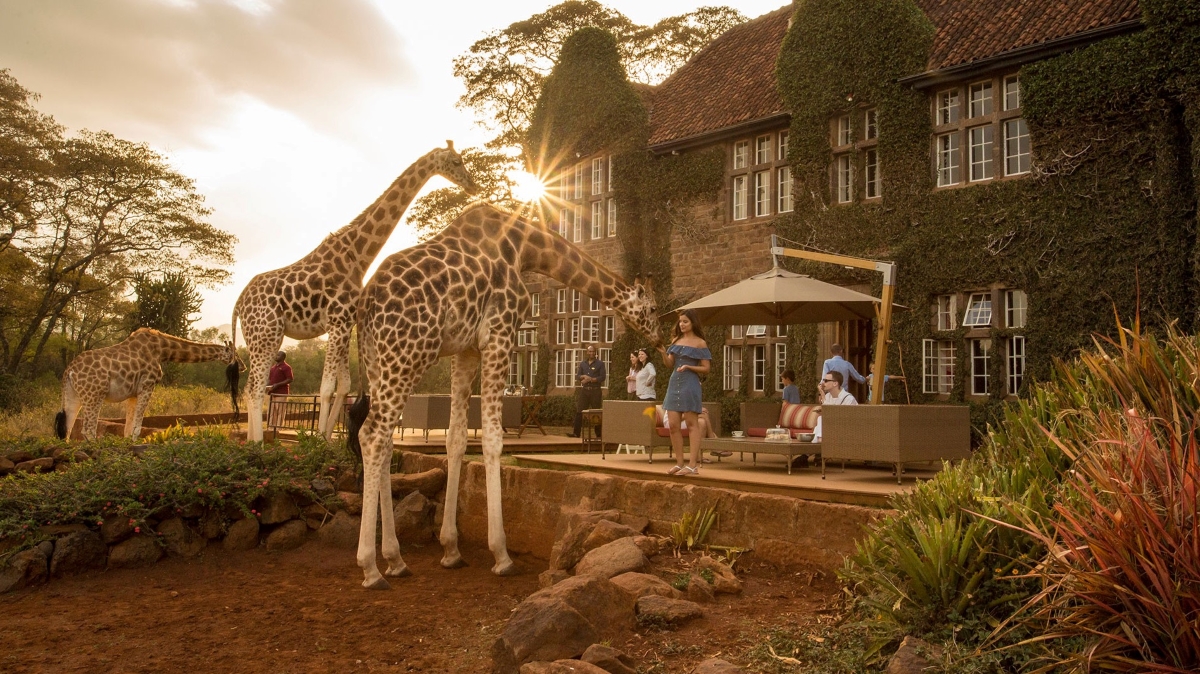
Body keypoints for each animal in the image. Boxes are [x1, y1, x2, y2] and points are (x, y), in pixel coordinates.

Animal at [56, 326, 241, 441]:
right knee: (87, 429)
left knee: (67, 429)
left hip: (73, 395)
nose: (244, 366)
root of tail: (69, 371)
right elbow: (137, 427)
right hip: (94, 394)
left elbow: (128, 427)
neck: (163, 350)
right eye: (236, 355)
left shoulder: (133, 393)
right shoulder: (147, 385)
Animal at [231, 141, 480, 441]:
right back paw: (258, 444)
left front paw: (327, 440)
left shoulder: (344, 322)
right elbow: (326, 388)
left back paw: (249, 441)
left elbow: (343, 386)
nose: (473, 186)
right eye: (456, 161)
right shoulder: (337, 321)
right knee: (256, 388)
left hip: (262, 336)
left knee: (249, 387)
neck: (357, 256)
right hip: (266, 334)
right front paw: (317, 441)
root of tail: (238, 304)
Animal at [348, 201, 667, 585]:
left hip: (377, 361)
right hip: (409, 354)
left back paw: (395, 559)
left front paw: (451, 549)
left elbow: (456, 439)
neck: (525, 249)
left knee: (384, 441)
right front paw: (501, 554)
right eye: (652, 308)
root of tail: (365, 303)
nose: (662, 342)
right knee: (373, 435)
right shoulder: (499, 335)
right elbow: (492, 439)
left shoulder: (467, 349)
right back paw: (370, 567)